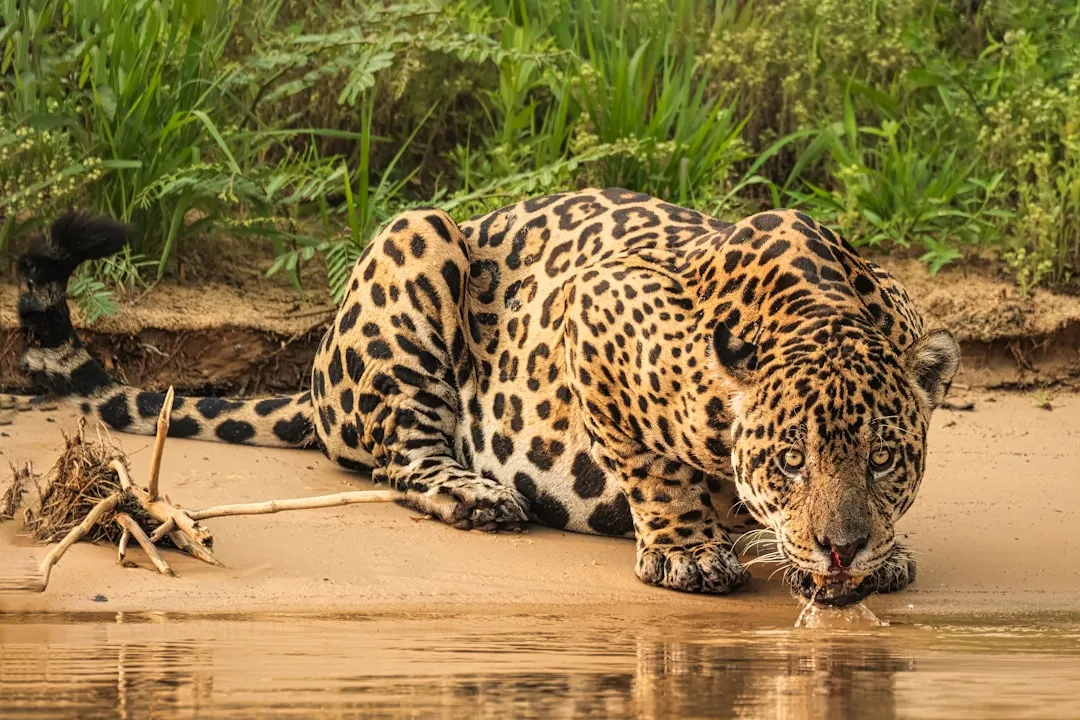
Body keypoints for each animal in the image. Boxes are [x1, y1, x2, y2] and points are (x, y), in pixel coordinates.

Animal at [15, 188, 960, 607]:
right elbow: (654, 469)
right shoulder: (597, 304)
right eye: (790, 461)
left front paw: (883, 553)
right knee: (401, 458)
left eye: (884, 459)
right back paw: (478, 495)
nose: (841, 549)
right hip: (416, 239)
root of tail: (315, 376)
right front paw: (689, 551)